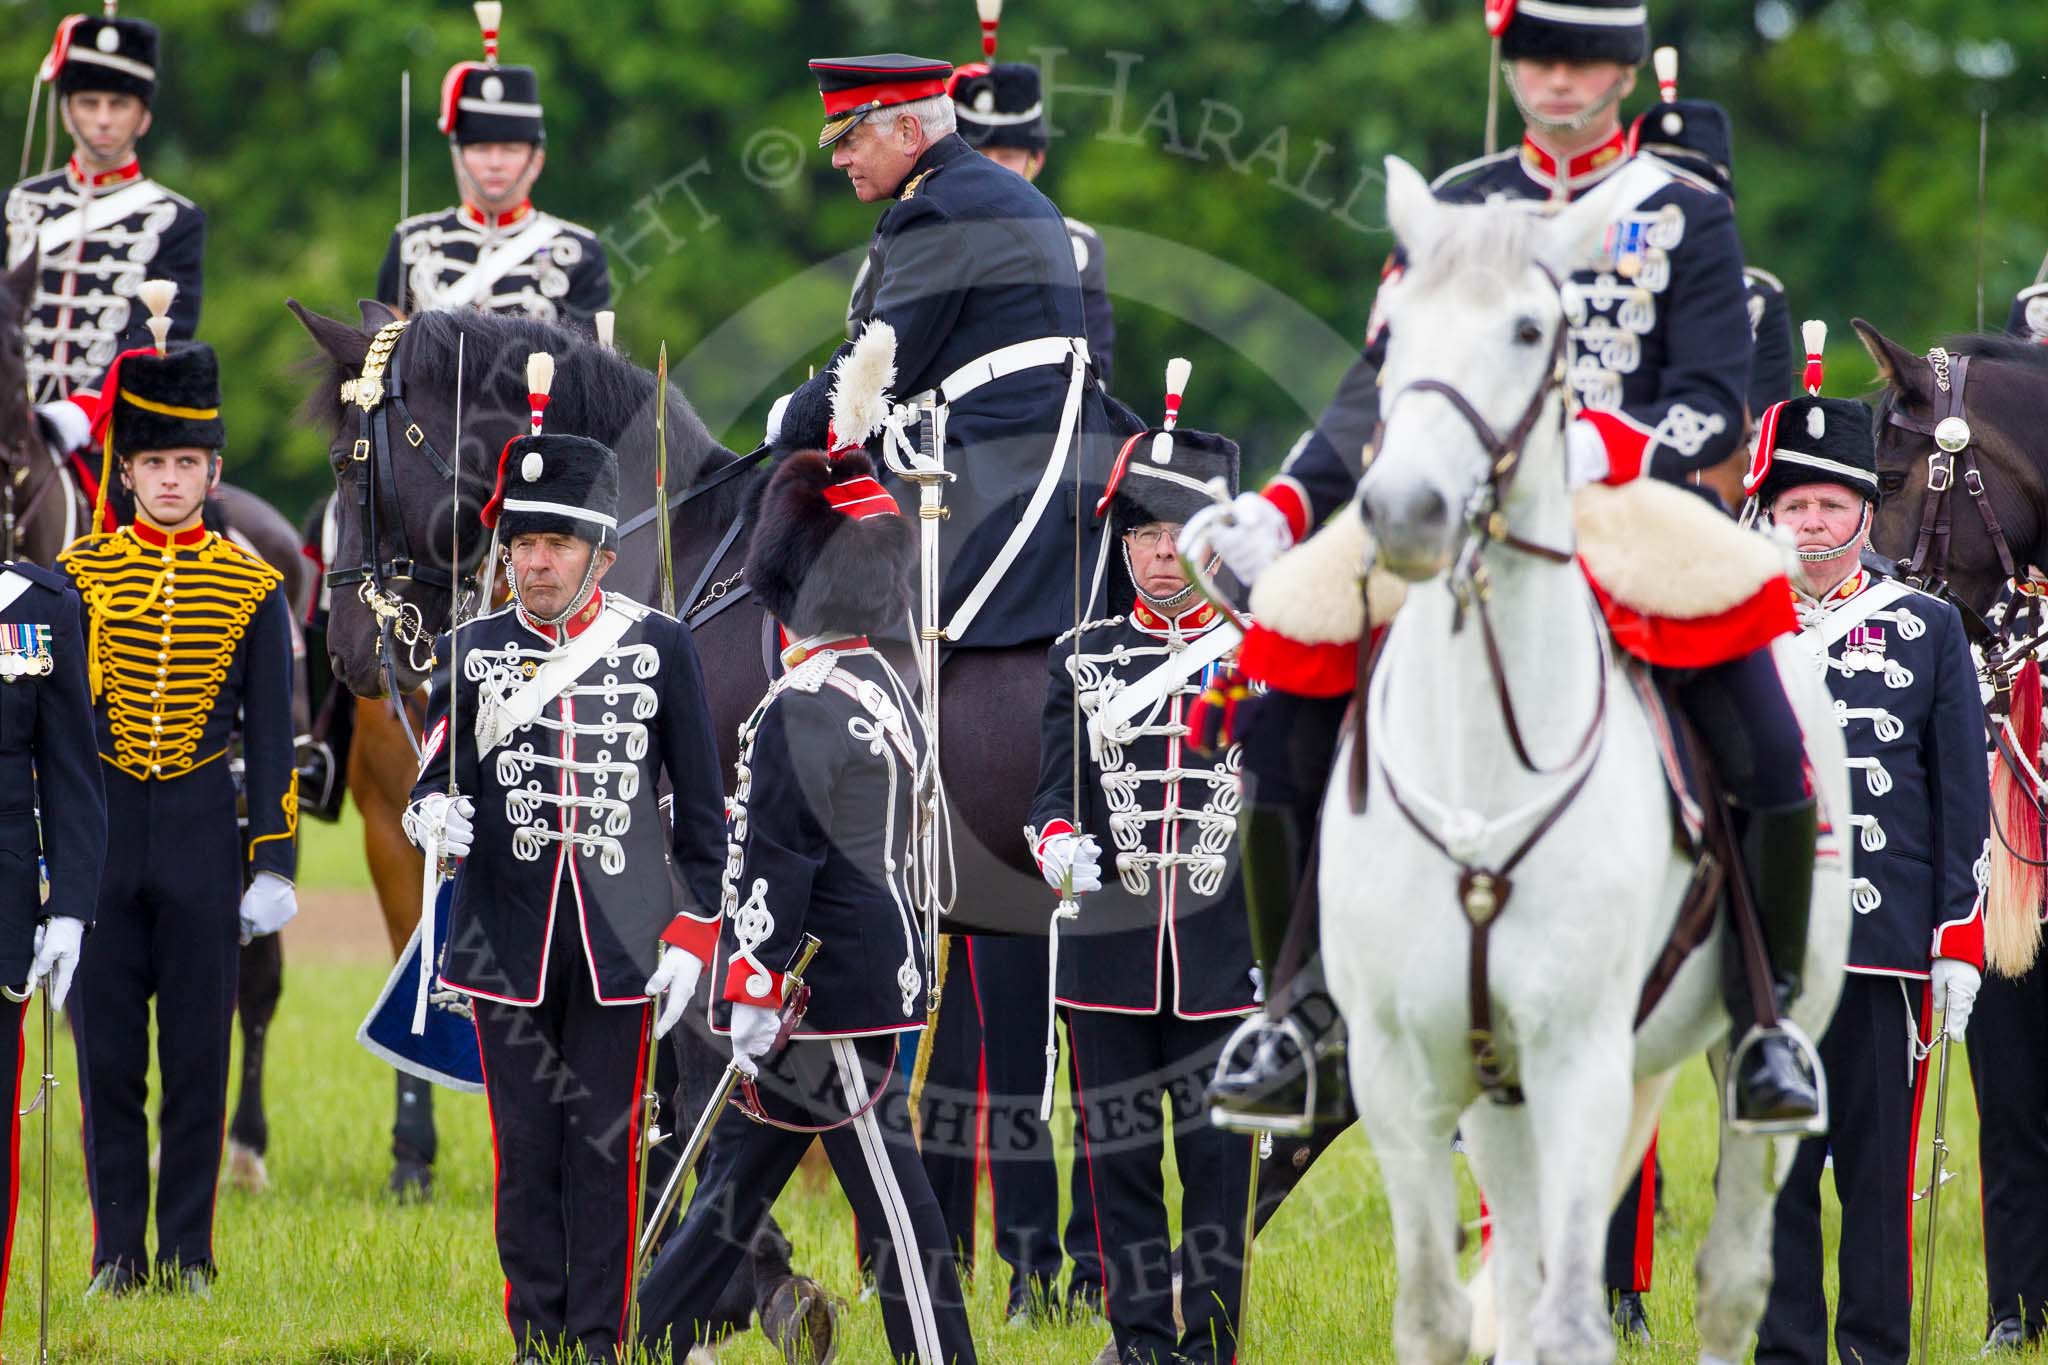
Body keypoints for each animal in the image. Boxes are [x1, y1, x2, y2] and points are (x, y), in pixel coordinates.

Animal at [1318, 162, 1851, 1365]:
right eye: (1389, 333)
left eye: (1529, 330)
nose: (1405, 510)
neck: (1482, 777)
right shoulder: (1407, 1068)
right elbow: (1437, 1314)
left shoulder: (1577, 1060)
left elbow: (1569, 1319)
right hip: (1500, 1093)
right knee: (1515, 1279)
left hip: (1755, 1049)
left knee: (1730, 1280)